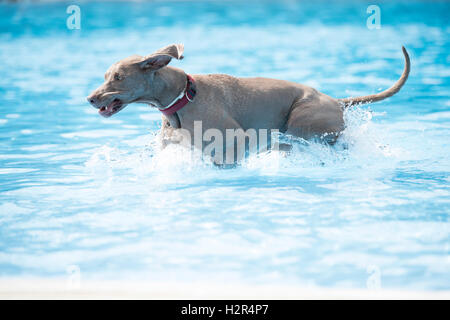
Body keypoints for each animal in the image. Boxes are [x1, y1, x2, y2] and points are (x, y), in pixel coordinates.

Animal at [88, 44, 412, 164]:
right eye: (105, 76)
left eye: (118, 77)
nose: (90, 98)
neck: (182, 97)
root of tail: (336, 100)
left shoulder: (236, 138)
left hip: (302, 124)